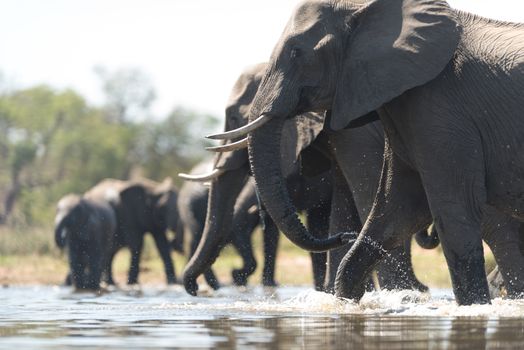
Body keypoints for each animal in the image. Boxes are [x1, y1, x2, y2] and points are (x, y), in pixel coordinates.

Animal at [216, 0, 524, 304]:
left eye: (296, 52)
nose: (345, 236)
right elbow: (396, 210)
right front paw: (349, 302)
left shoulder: (440, 110)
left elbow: (453, 208)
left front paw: (471, 307)